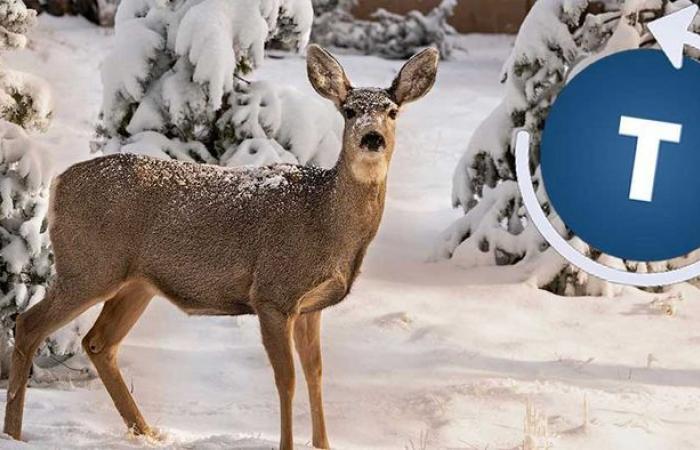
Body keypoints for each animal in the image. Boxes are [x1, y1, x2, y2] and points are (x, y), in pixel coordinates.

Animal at [2, 45, 438, 450]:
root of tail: (58, 183)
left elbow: (315, 373)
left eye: (392, 111)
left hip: (135, 283)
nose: (371, 138)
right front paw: (288, 444)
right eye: (348, 111)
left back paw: (148, 432)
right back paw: (15, 433)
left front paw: (323, 444)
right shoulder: (273, 293)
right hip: (88, 265)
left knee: (98, 343)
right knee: (27, 324)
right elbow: (286, 378)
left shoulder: (311, 306)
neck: (327, 225)